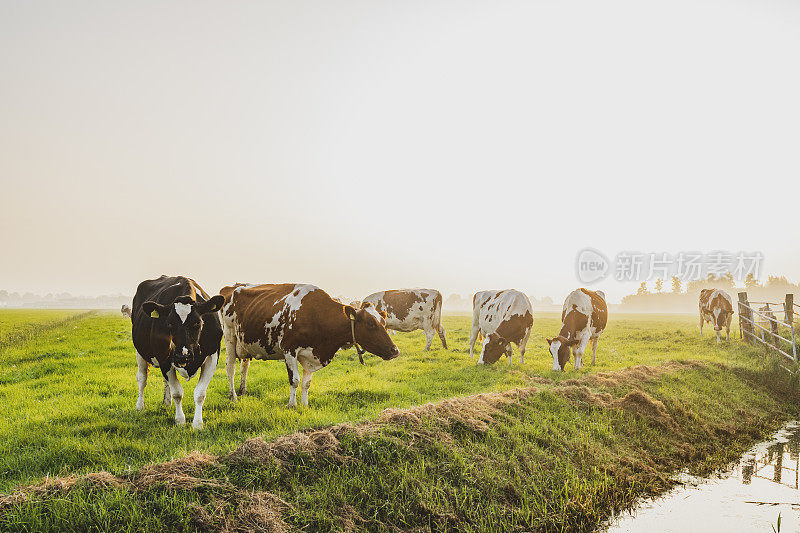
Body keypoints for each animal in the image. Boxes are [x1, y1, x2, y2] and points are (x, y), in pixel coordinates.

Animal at [131, 274, 223, 428]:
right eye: (169, 324)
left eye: (198, 323)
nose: (182, 356)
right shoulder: (164, 359)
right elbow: (177, 393)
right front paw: (180, 420)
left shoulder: (212, 356)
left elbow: (200, 393)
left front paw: (197, 424)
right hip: (140, 352)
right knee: (142, 378)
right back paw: (139, 406)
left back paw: (166, 403)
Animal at [220, 284, 398, 406]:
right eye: (370, 324)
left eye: (383, 322)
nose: (395, 350)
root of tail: (232, 287)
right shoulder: (289, 350)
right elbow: (295, 380)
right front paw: (292, 405)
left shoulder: (312, 355)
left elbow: (306, 383)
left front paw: (304, 405)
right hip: (229, 336)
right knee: (230, 367)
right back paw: (233, 396)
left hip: (244, 343)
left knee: (244, 366)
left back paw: (243, 390)